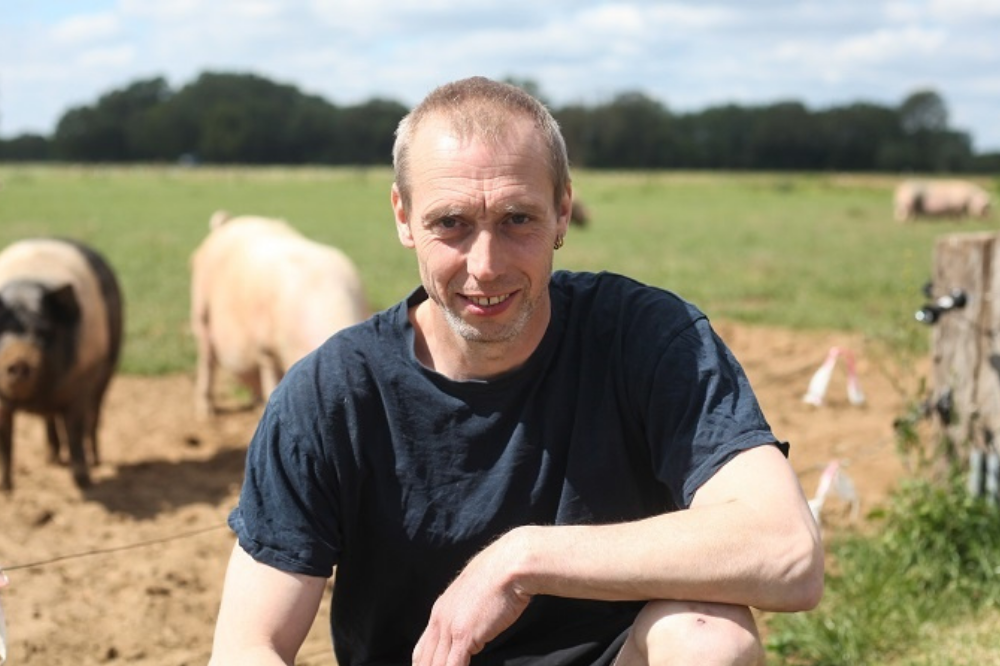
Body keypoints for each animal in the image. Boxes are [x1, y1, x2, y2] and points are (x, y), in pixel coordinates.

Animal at [0, 239, 124, 488]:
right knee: (50, 419)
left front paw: (83, 482)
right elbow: (5, 440)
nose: (18, 361)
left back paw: (95, 461)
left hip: (109, 367)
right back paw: (52, 459)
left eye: (44, 331)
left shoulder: (80, 384)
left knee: (94, 415)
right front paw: (6, 489)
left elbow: (75, 430)